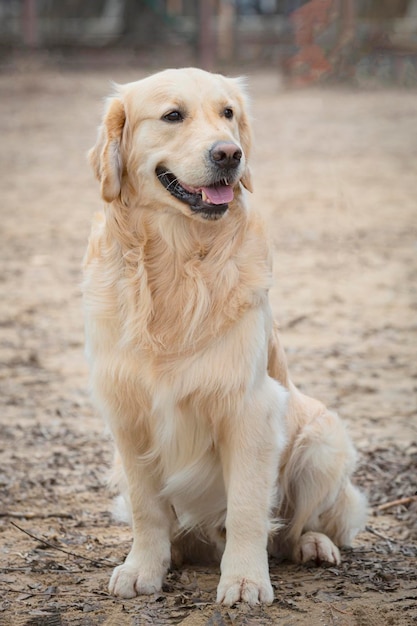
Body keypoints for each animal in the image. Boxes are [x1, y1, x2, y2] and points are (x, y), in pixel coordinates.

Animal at [82, 66, 368, 604]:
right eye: (173, 115)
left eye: (228, 113)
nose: (229, 155)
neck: (178, 262)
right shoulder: (126, 412)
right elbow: (147, 507)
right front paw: (142, 568)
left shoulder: (250, 408)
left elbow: (248, 509)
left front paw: (244, 580)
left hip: (323, 441)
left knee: (296, 529)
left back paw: (313, 545)